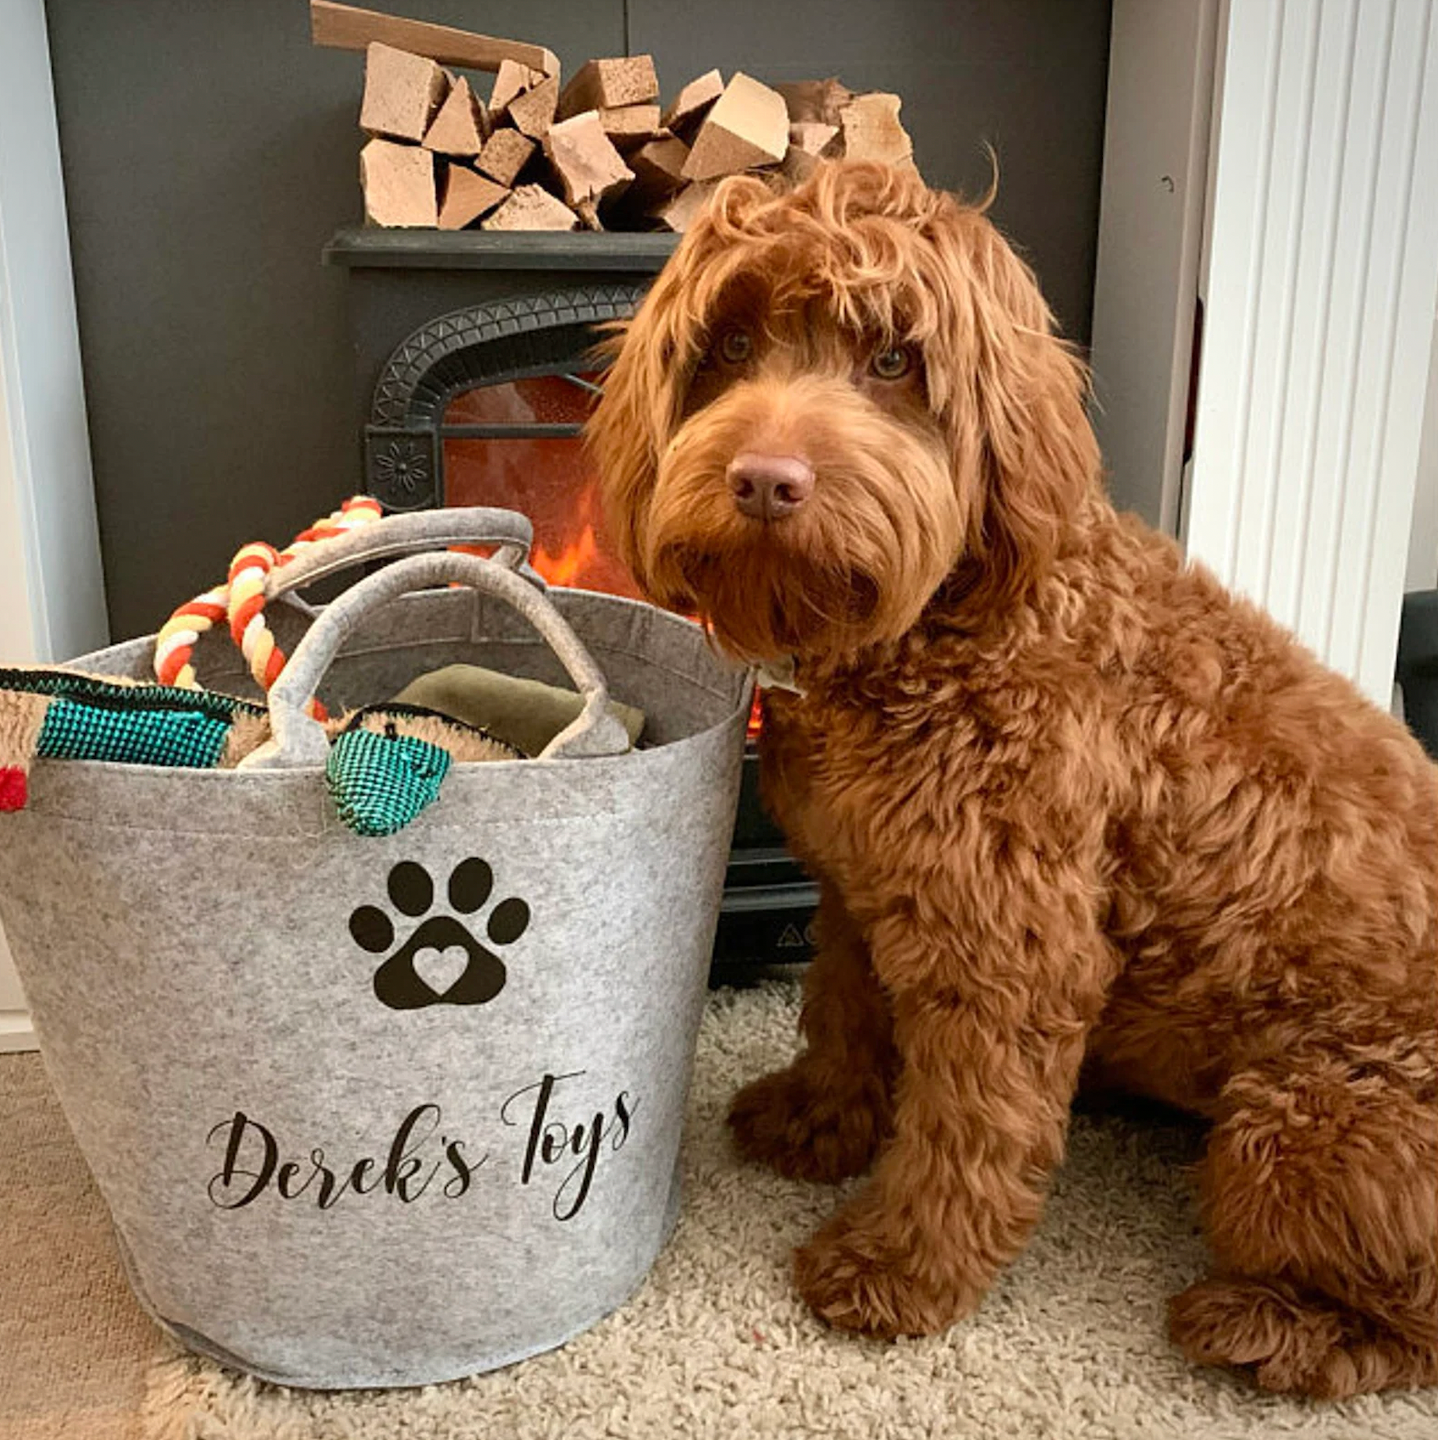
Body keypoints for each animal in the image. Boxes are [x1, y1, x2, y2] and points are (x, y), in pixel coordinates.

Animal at [587, 163, 1438, 1399]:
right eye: (731, 342)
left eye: (896, 359)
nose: (764, 481)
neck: (943, 630)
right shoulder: (858, 891)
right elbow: (841, 1011)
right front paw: (820, 1120)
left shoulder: (1006, 950)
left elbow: (968, 1129)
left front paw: (900, 1267)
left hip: (1302, 1131)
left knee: (1410, 1313)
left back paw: (1272, 1325)